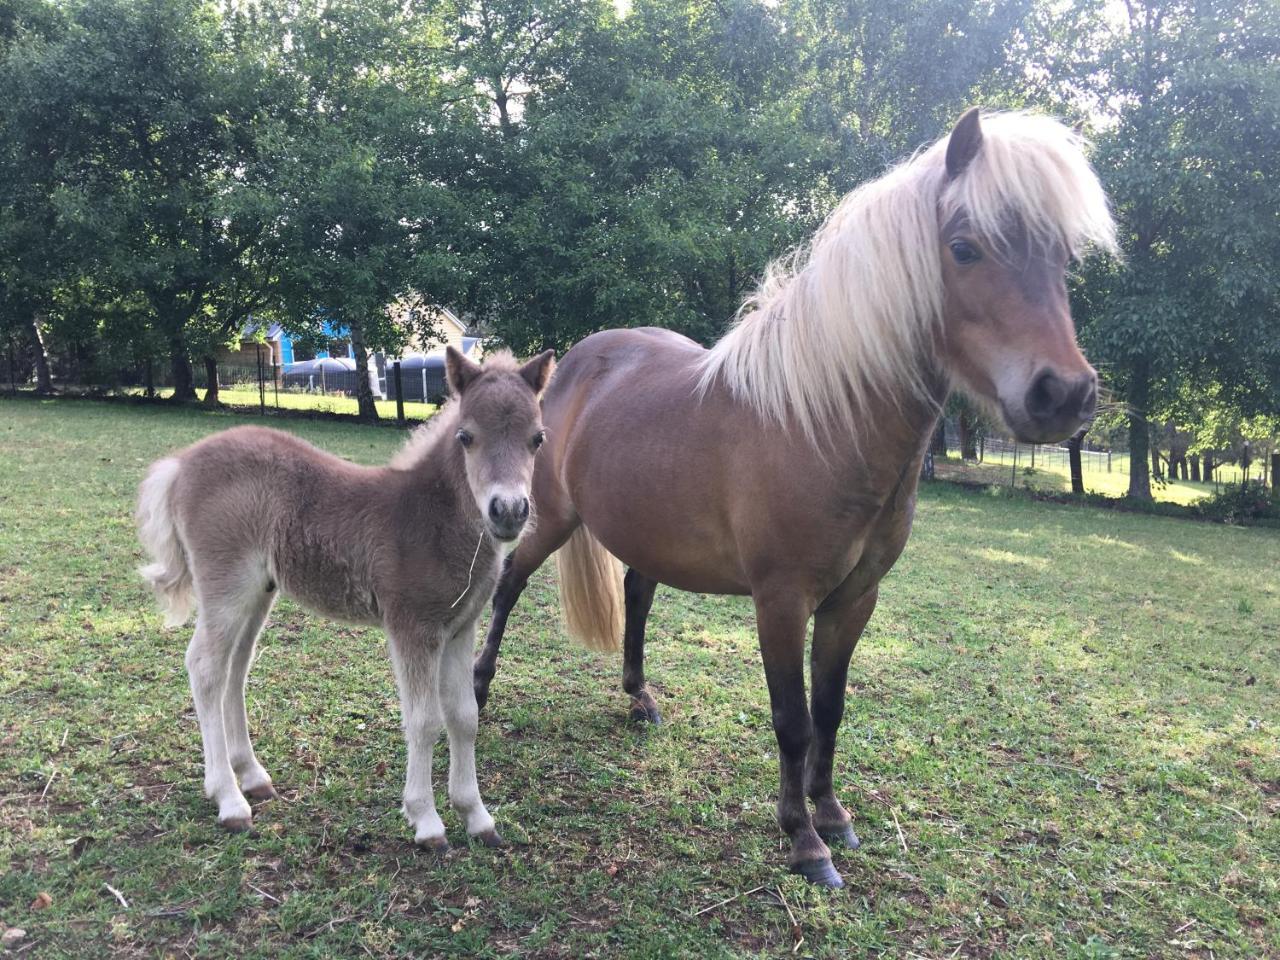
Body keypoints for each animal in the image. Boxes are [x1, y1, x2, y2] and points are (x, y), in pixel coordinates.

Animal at [136, 350, 555, 855]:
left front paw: (476, 816)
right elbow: (424, 721)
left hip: (256, 592)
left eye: (537, 439)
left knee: (235, 670)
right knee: (205, 668)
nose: (509, 511)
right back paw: (229, 799)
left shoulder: (460, 629)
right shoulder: (412, 628)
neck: (432, 520)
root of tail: (180, 464)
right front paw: (427, 821)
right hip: (226, 585)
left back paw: (252, 776)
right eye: (466, 437)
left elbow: (464, 717)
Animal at [473, 110, 1121, 885]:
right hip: (548, 521)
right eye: (964, 249)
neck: (821, 423)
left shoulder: (853, 601)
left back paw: (639, 700)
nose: (1065, 395)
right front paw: (803, 839)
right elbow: (792, 719)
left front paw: (833, 813)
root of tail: (572, 363)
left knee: (636, 594)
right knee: (508, 586)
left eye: (1063, 259)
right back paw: (476, 691)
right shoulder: (780, 602)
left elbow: (831, 709)